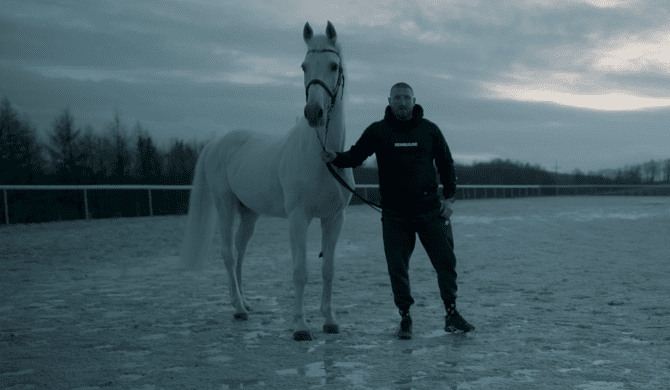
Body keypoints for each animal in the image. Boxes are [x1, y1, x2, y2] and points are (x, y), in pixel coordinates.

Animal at [178, 21, 356, 340]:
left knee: (240, 252)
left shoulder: (334, 219)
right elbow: (300, 272)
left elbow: (329, 270)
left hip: (249, 214)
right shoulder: (299, 218)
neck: (322, 155)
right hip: (224, 206)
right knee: (228, 254)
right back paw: (238, 308)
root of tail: (217, 143)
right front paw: (300, 326)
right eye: (303, 66)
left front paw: (330, 320)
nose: (313, 113)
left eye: (334, 66)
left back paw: (245, 302)